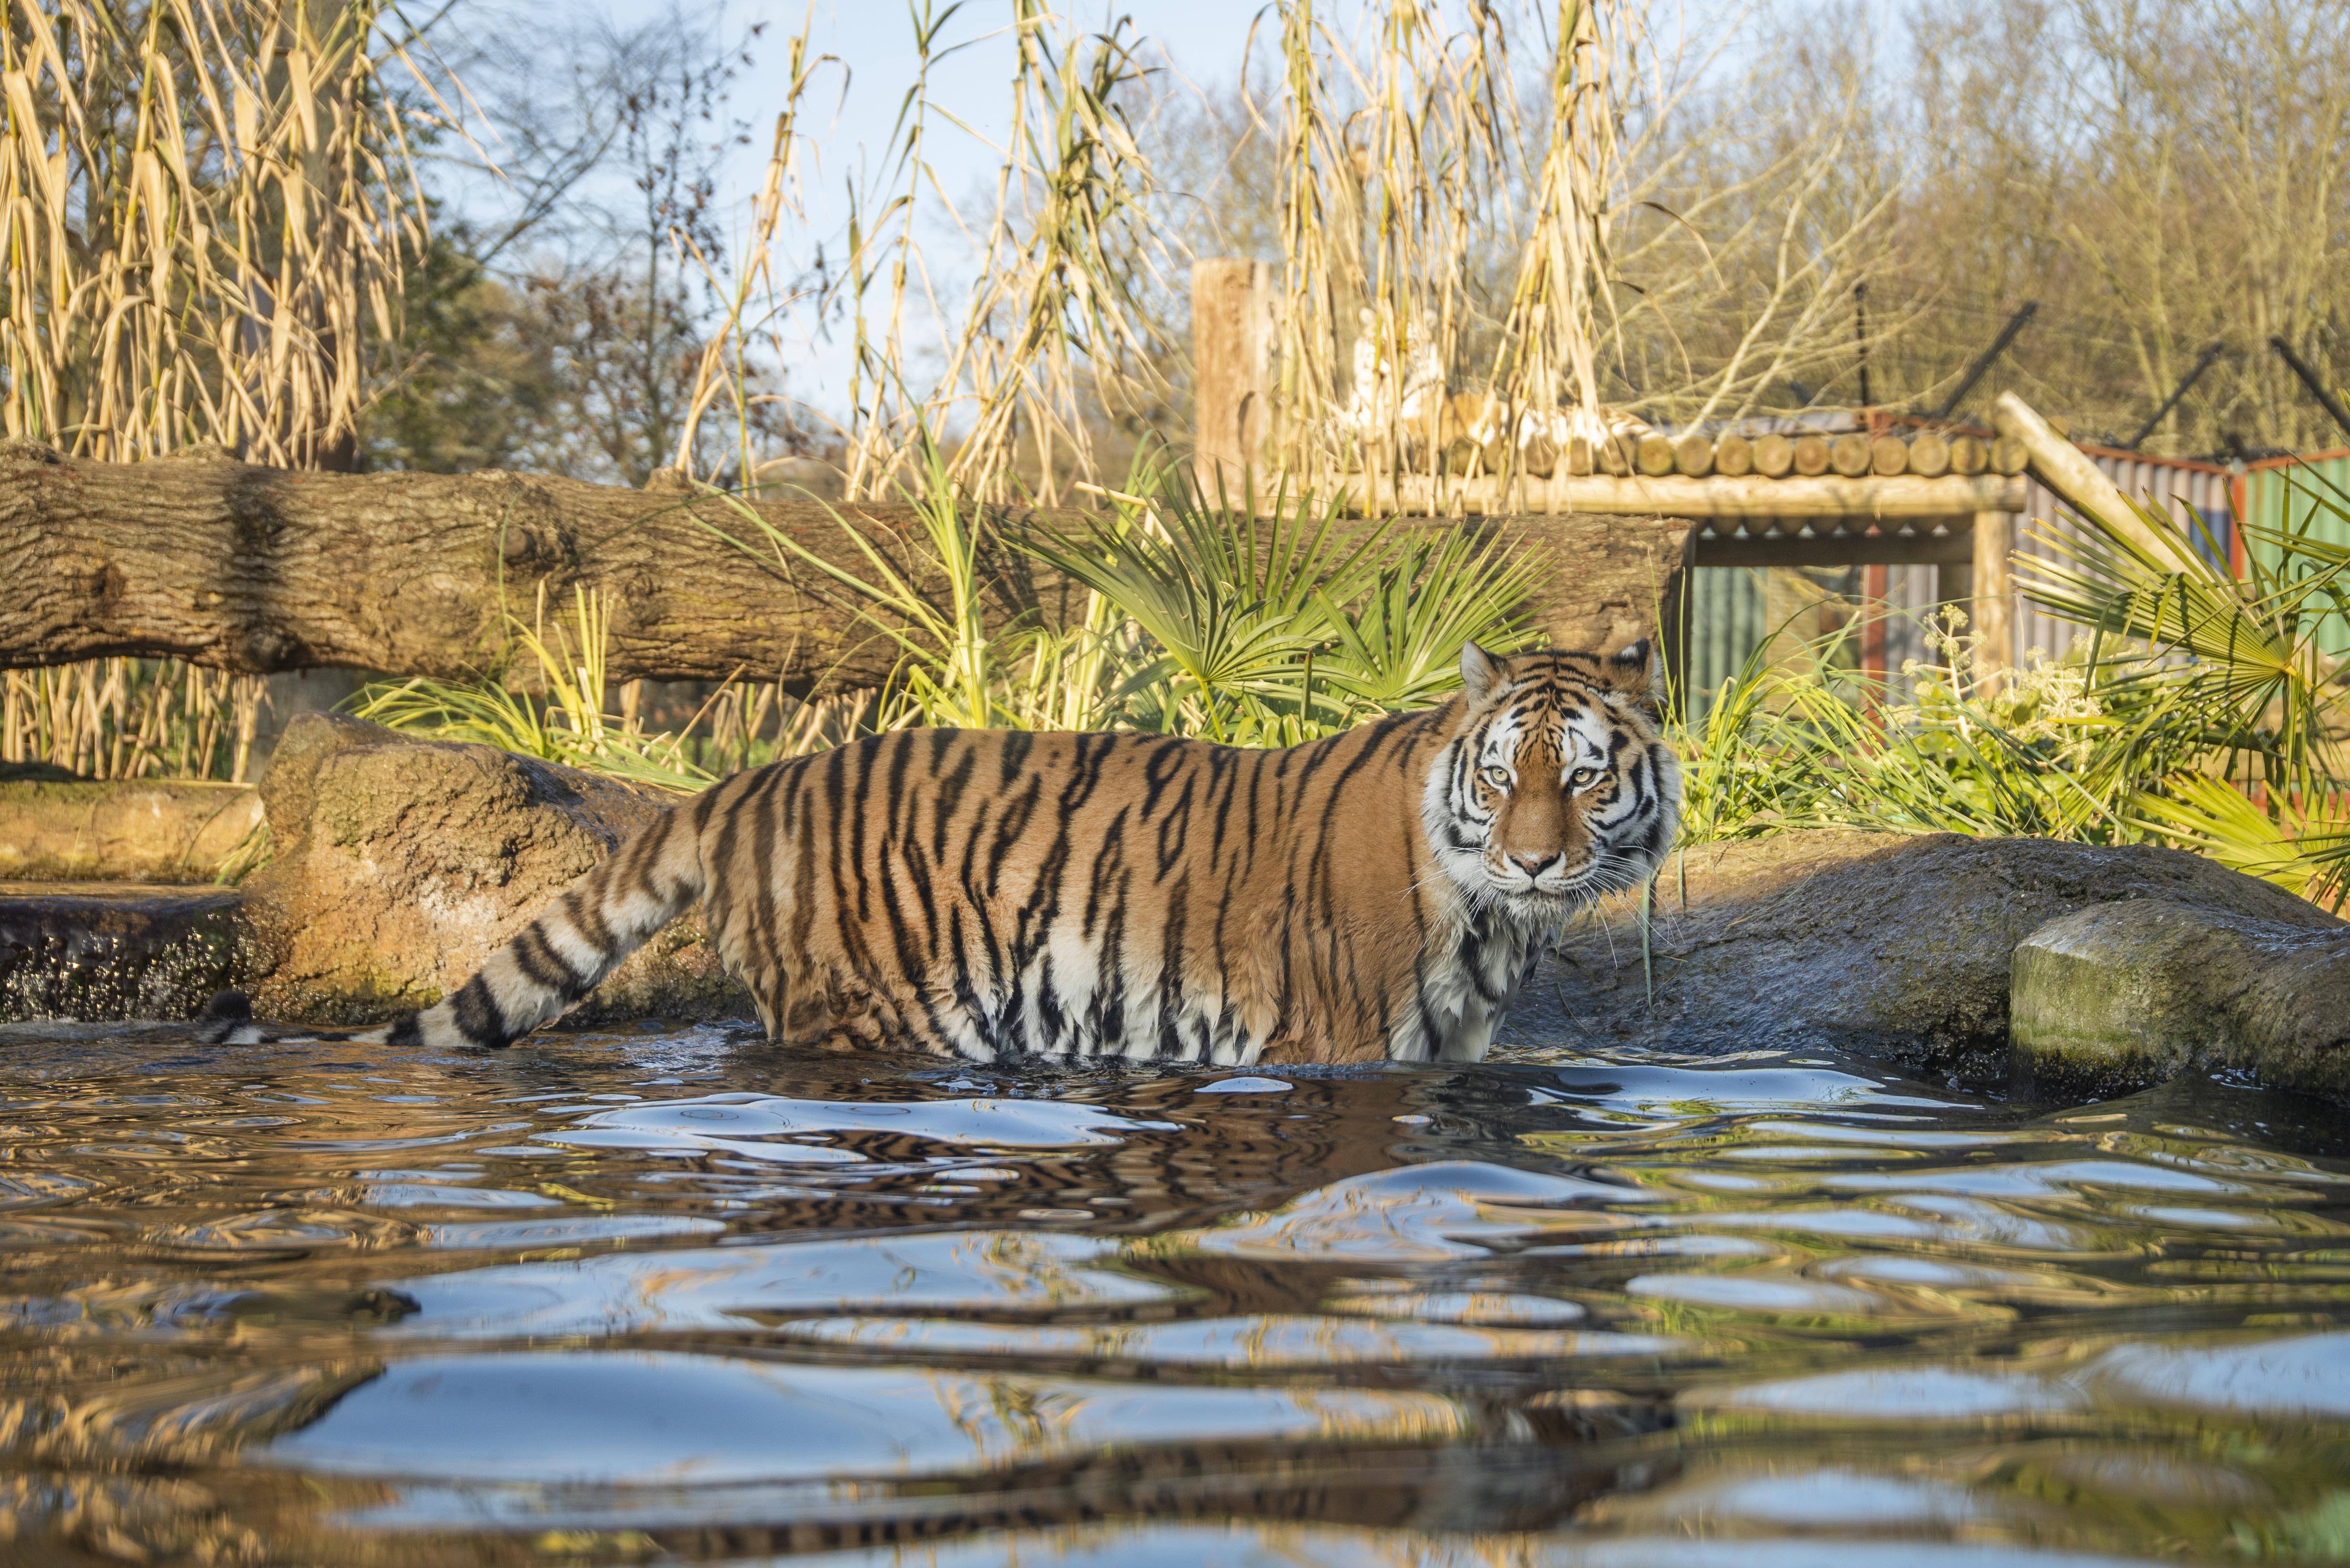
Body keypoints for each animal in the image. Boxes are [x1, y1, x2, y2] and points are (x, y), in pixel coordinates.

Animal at [363, 640, 1681, 1066]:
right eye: (1502, 779)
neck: (1489, 918)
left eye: (1584, 778)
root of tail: (753, 777)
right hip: (884, 1010)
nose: (1534, 864)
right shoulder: (1345, 1047)